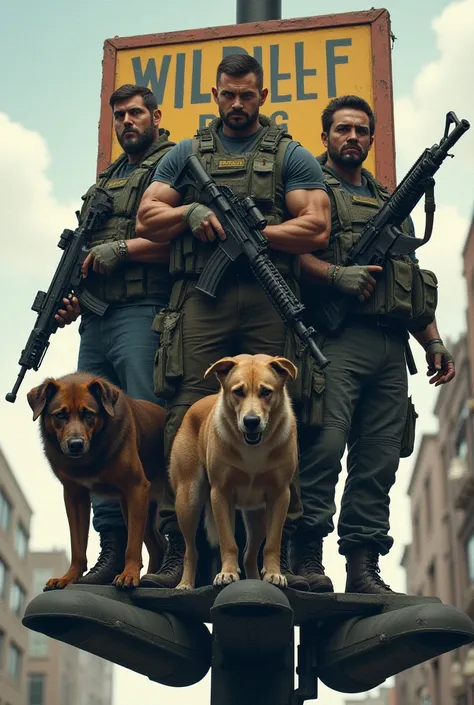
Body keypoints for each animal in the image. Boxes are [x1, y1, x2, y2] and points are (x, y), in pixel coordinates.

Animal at [27, 372, 167, 592]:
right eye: (60, 415)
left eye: (88, 414)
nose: (75, 445)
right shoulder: (74, 495)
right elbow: (77, 546)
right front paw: (69, 577)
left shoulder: (136, 487)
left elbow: (132, 545)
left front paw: (129, 574)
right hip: (136, 506)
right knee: (158, 548)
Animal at [168, 352, 298, 588]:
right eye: (238, 391)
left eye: (266, 392)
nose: (251, 421)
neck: (253, 447)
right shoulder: (220, 494)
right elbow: (228, 541)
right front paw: (227, 573)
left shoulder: (280, 495)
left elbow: (272, 543)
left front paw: (274, 573)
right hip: (188, 500)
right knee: (191, 551)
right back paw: (185, 584)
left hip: (257, 514)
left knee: (249, 554)